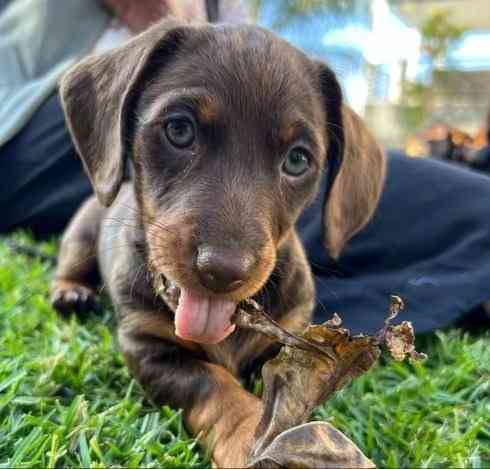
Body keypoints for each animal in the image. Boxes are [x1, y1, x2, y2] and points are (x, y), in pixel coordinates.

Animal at [50, 20, 386, 466]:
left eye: (298, 160)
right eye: (179, 130)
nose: (223, 270)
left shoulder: (290, 336)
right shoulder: (147, 346)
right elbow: (212, 385)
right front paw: (248, 433)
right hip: (83, 232)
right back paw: (71, 292)